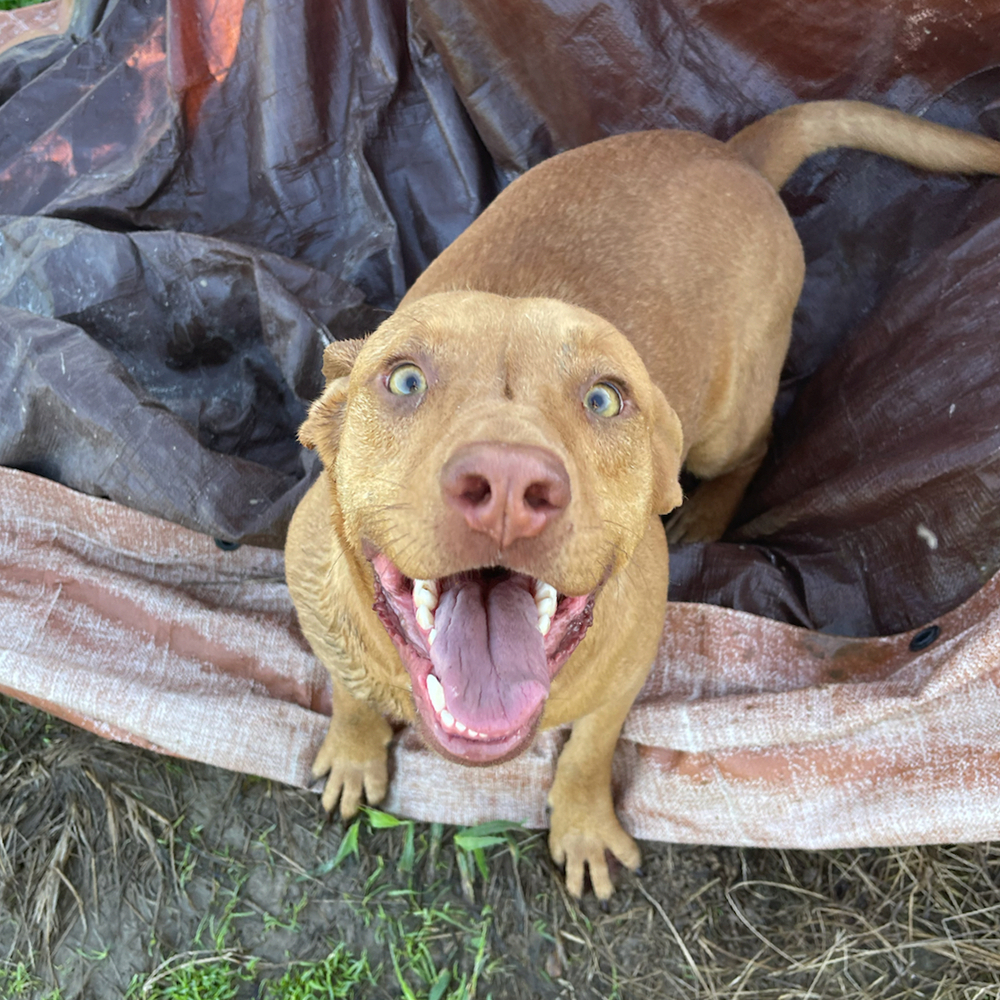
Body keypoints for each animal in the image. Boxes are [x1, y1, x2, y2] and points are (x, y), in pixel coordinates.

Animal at [286, 101, 1000, 900]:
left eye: (605, 398)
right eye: (404, 379)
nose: (508, 485)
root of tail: (736, 155)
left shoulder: (629, 672)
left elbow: (590, 749)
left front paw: (583, 823)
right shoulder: (320, 612)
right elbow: (349, 691)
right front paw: (355, 749)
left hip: (728, 417)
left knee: (756, 443)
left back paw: (706, 513)